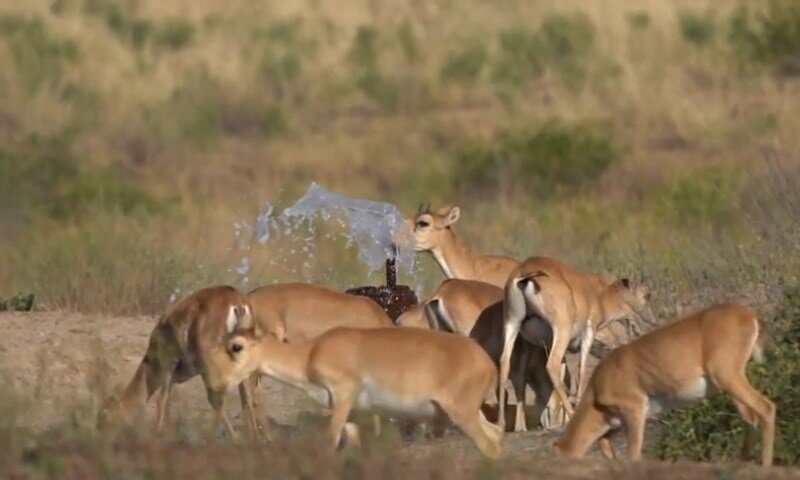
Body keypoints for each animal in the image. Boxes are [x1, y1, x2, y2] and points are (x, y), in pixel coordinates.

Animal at [95, 284, 260, 438]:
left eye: (104, 420)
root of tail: (237, 302)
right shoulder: (174, 377)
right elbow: (168, 403)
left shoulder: (168, 366)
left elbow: (161, 401)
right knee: (246, 397)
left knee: (220, 398)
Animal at [217, 322, 506, 458]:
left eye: (236, 346)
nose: (219, 384)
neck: (309, 354)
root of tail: (487, 363)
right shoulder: (351, 413)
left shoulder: (342, 399)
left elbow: (329, 443)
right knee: (496, 437)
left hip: (462, 415)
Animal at [496, 256, 652, 430]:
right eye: (647, 295)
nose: (646, 324)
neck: (598, 295)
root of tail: (526, 272)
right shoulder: (588, 336)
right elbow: (580, 371)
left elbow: (564, 376)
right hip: (561, 330)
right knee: (552, 366)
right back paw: (571, 416)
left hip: (513, 326)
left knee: (505, 364)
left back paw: (501, 423)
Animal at [556, 304, 776, 464]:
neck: (596, 388)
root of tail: (749, 315)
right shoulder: (615, 424)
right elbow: (605, 446)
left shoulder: (635, 410)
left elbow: (633, 455)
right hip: (730, 386)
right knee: (750, 419)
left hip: (729, 378)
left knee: (766, 408)